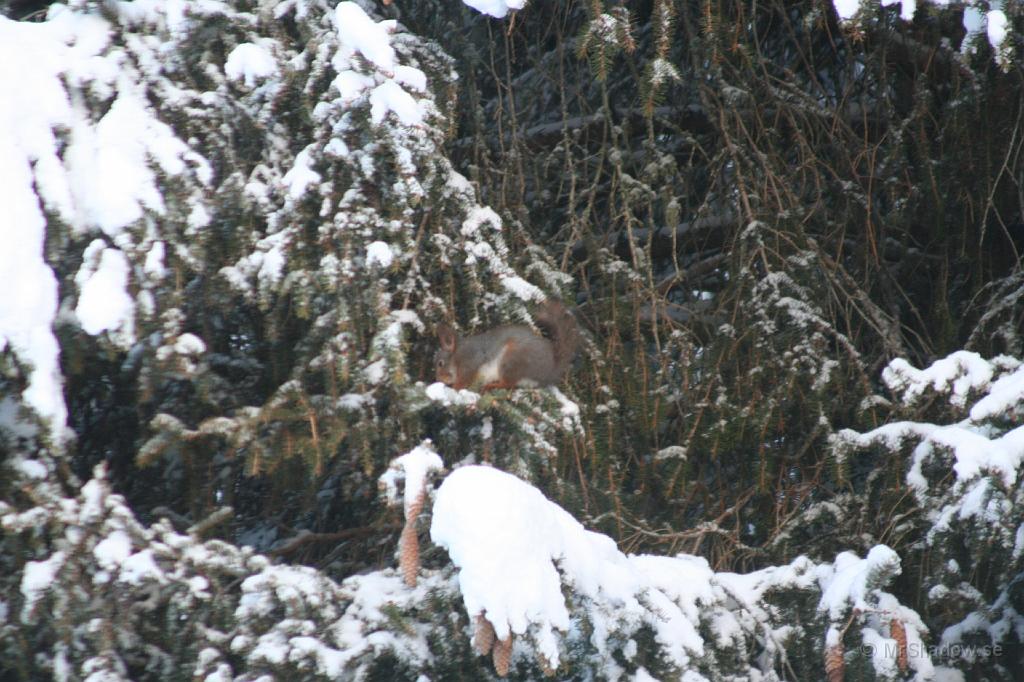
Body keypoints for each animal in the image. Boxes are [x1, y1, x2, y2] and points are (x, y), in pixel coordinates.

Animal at [430, 301, 577, 391]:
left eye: (440, 364)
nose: (438, 380)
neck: (456, 355)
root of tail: (551, 370)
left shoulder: (470, 361)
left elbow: (464, 380)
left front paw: (455, 389)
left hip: (512, 360)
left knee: (509, 383)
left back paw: (491, 386)